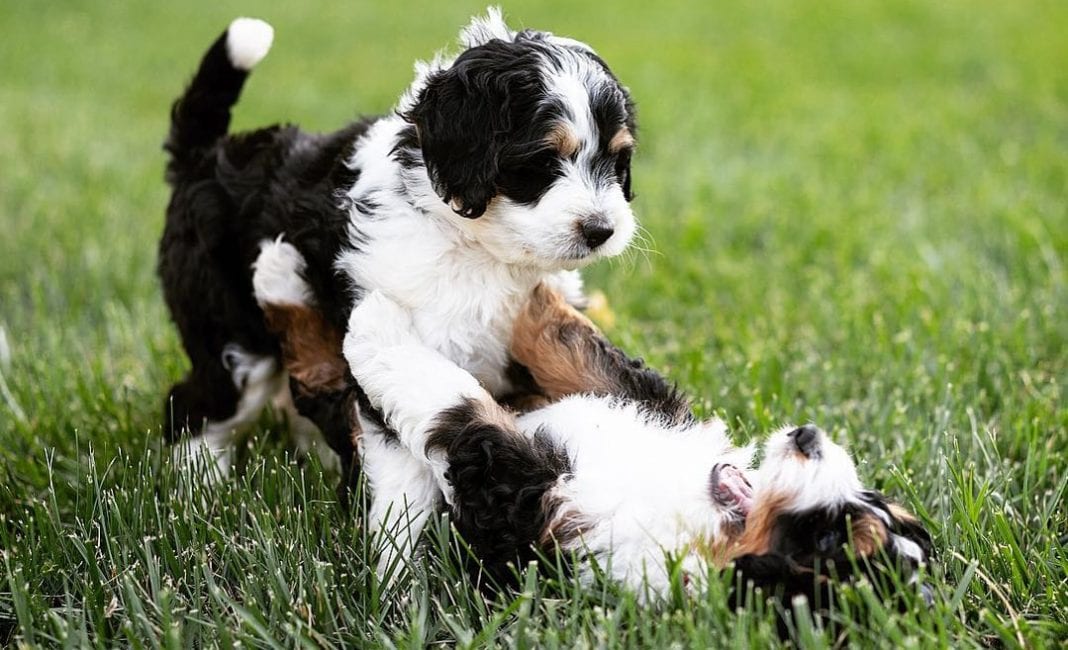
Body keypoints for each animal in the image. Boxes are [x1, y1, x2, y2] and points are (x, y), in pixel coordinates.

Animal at [252, 245, 935, 601]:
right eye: (873, 501)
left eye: (828, 544)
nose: (810, 438)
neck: (695, 505)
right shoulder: (639, 403)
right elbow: (574, 345)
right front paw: (525, 278)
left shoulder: (521, 495)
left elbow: (459, 409)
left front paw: (383, 328)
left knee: (327, 387)